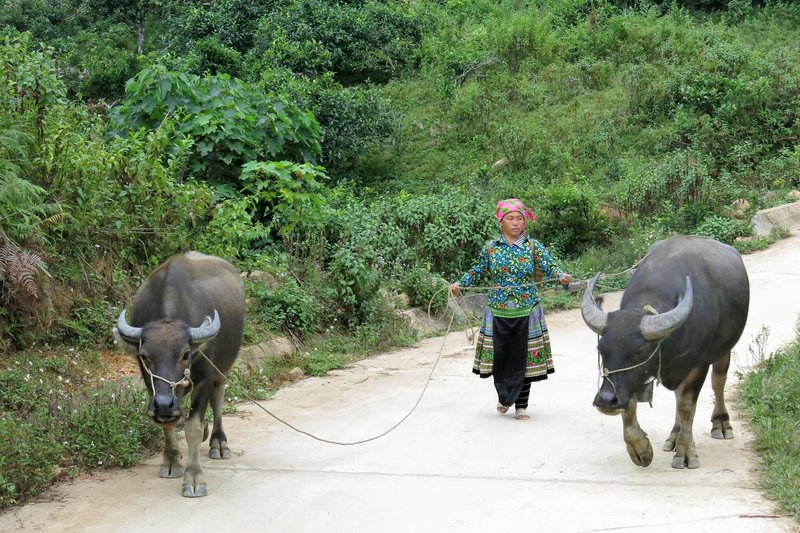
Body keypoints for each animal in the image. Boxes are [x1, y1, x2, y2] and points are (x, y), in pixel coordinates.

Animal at [112, 251, 244, 496]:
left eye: (186, 354)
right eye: (144, 356)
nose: (164, 404)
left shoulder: (204, 378)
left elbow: (193, 427)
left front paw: (194, 478)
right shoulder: (152, 387)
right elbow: (168, 424)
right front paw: (172, 461)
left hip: (223, 367)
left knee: (218, 398)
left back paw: (218, 442)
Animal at [580, 235, 752, 468]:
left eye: (640, 351)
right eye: (601, 349)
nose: (606, 400)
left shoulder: (698, 366)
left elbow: (688, 406)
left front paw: (686, 452)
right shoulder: (633, 380)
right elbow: (632, 405)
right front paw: (640, 449)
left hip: (724, 349)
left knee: (718, 381)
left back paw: (720, 424)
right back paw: (674, 435)